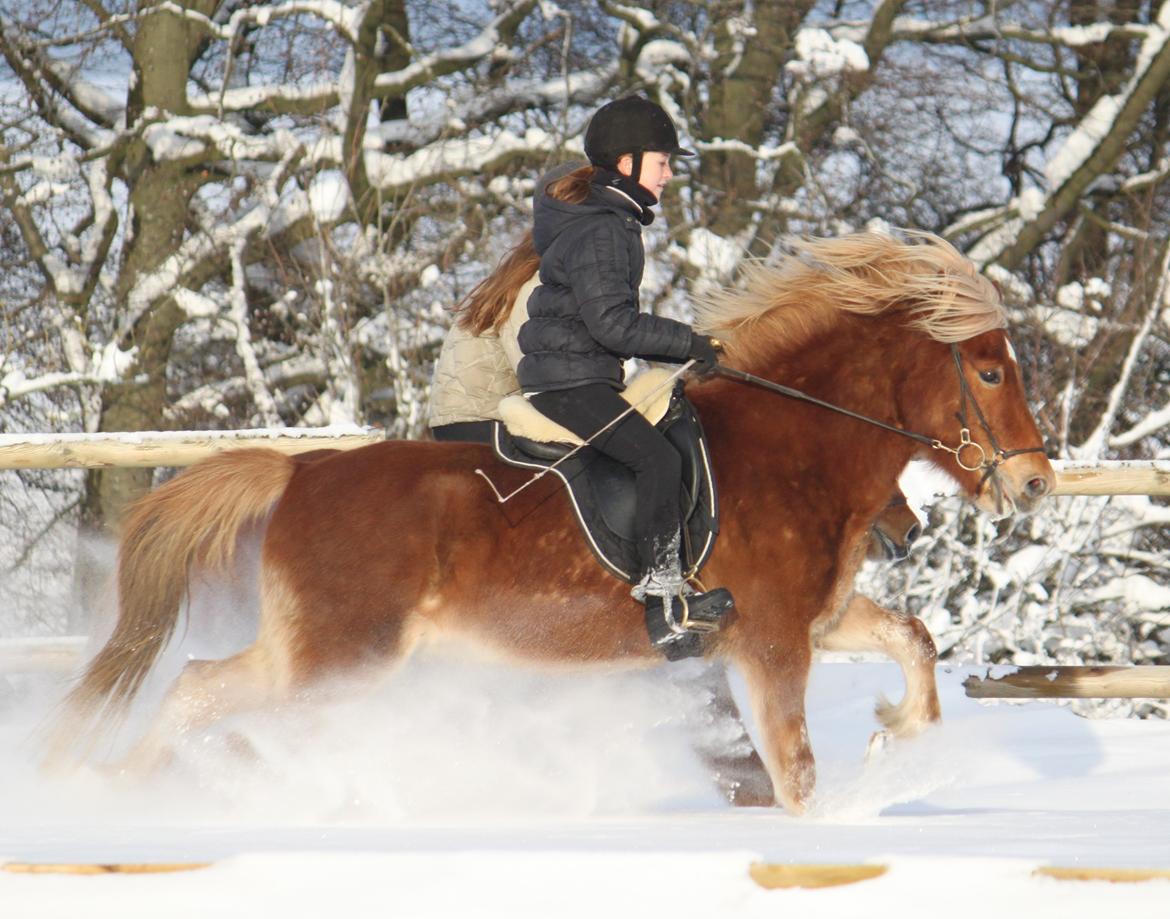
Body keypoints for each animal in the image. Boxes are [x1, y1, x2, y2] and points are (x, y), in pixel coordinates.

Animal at [52, 229, 1053, 810]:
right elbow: (797, 771)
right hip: (339, 660)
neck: (797, 444)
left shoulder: (813, 620)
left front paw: (895, 734)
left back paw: (108, 790)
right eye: (990, 370)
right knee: (208, 691)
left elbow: (914, 641)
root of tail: (300, 471)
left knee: (194, 688)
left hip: (324, 656)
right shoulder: (772, 644)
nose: (1037, 481)